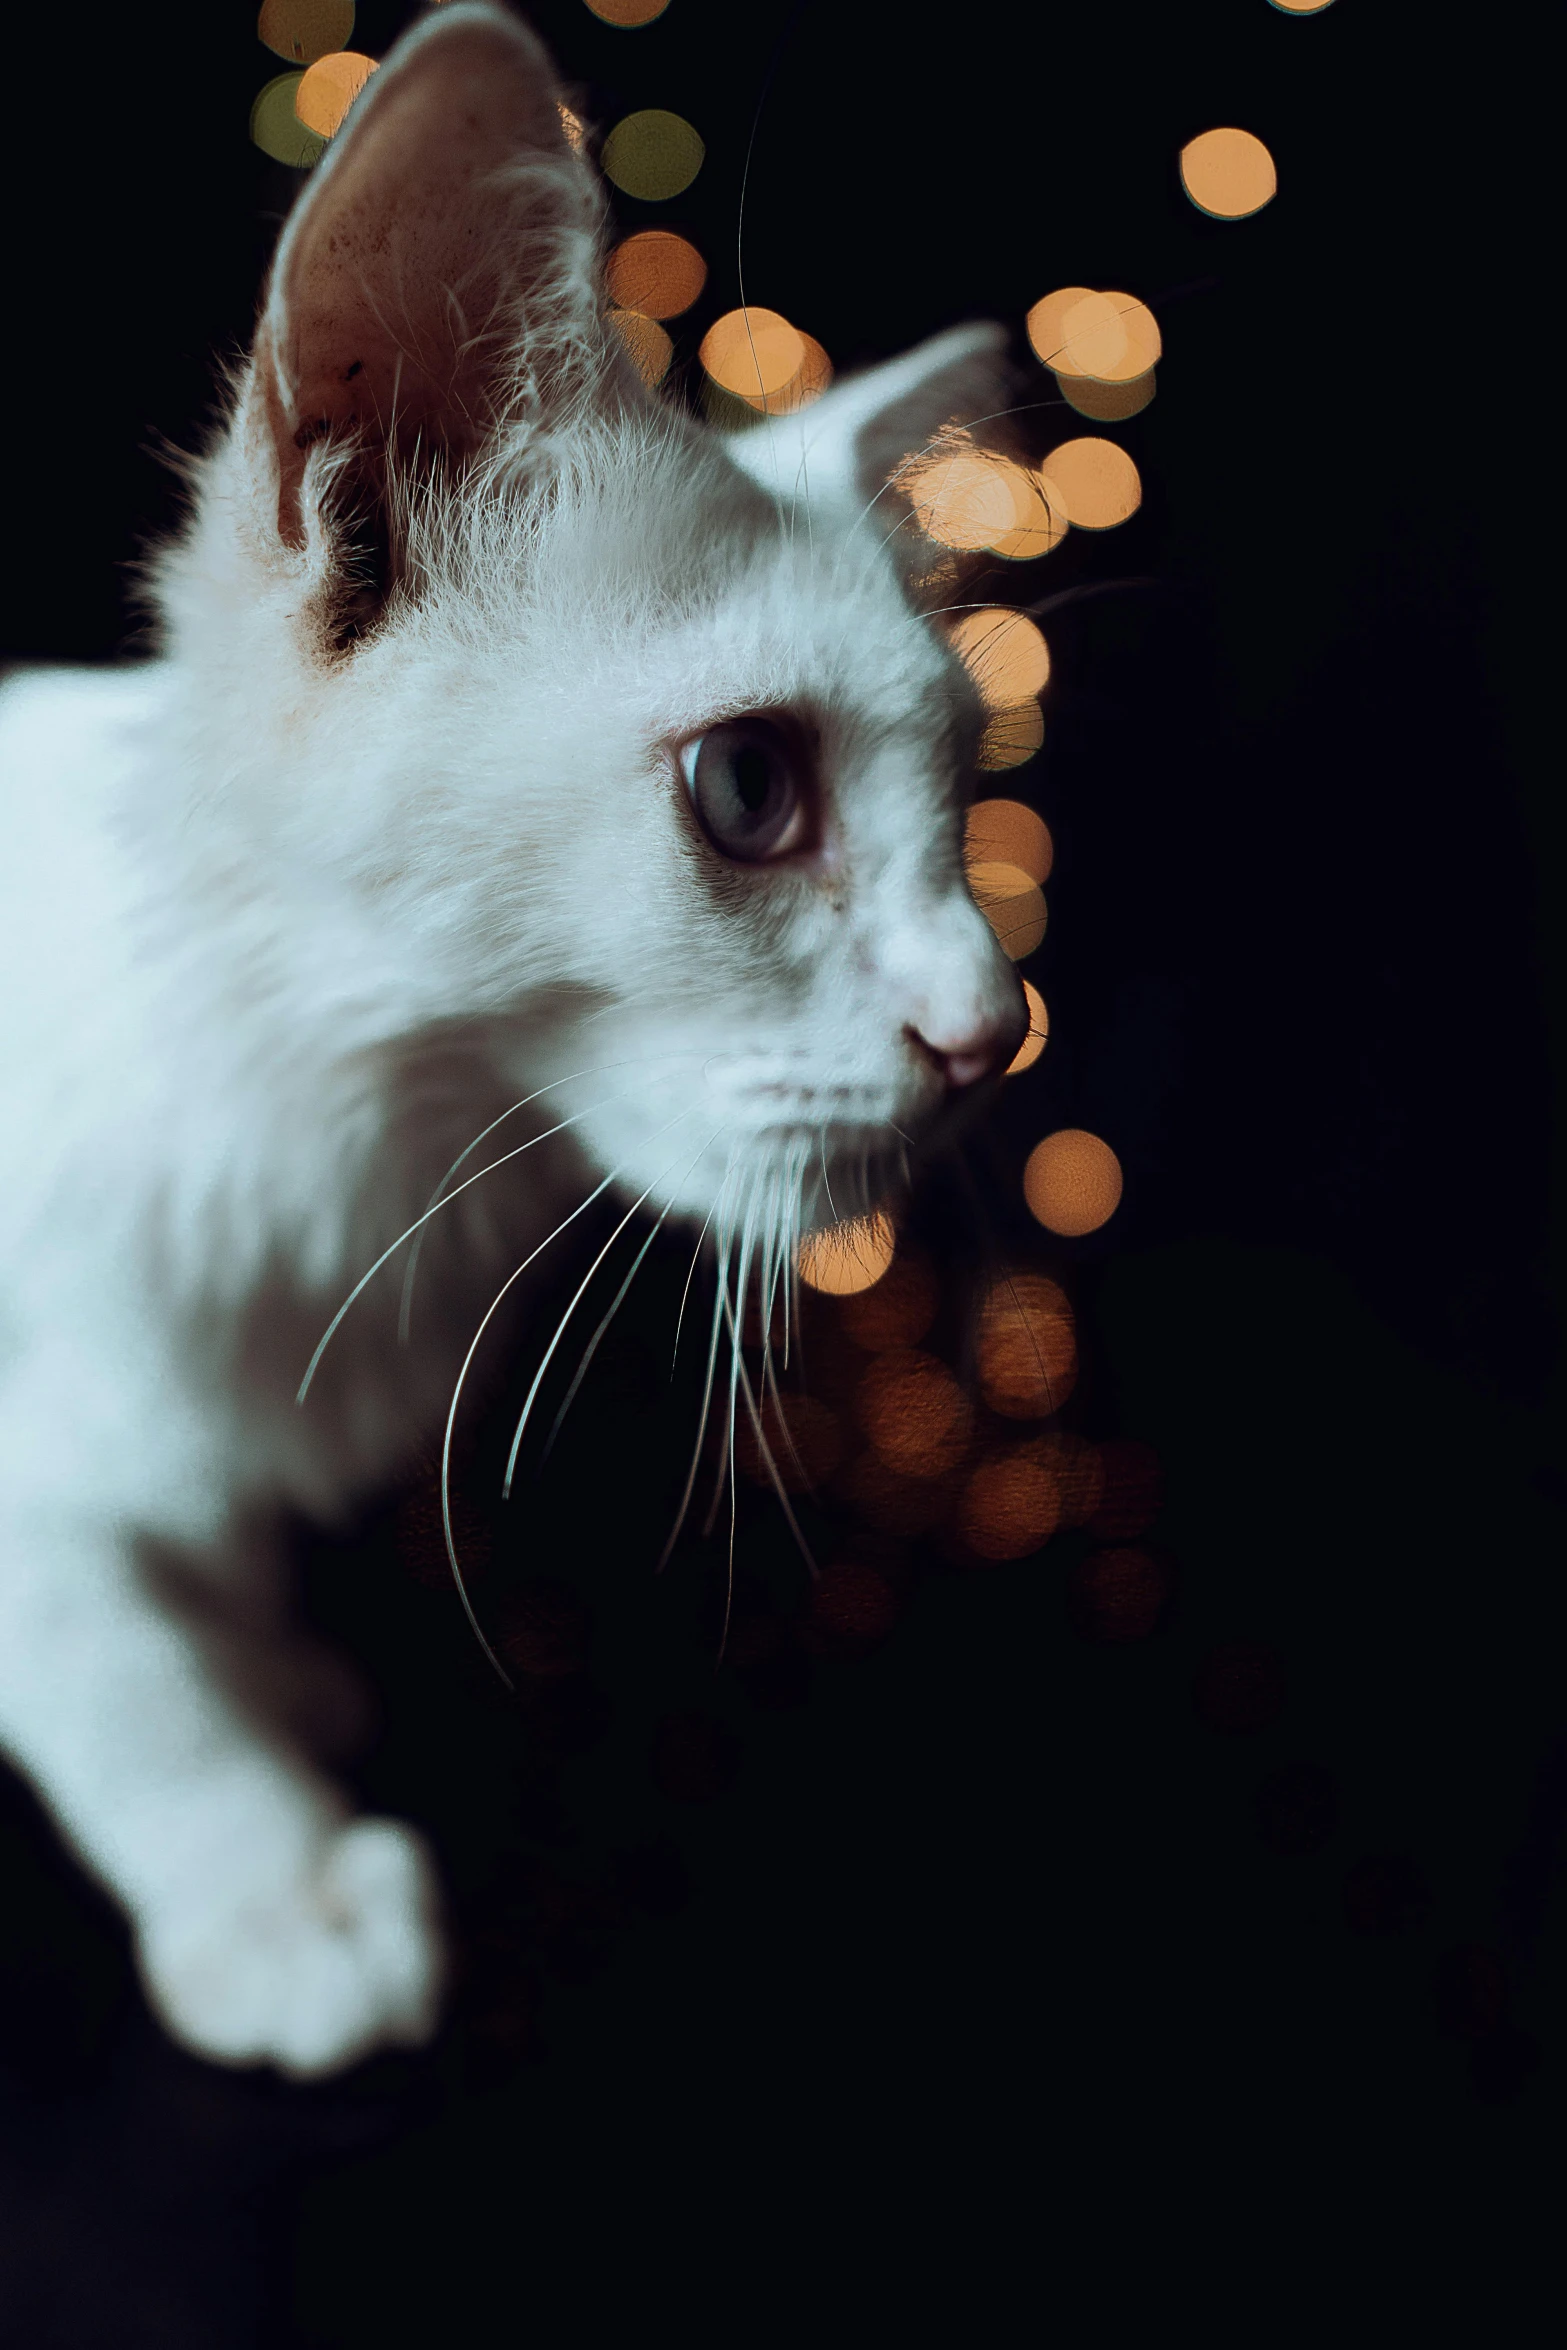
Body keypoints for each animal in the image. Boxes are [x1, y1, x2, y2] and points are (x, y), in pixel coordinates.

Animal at [0, 0, 1029, 2077]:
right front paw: (270, 1879)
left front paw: (269, 1670)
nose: (994, 1033)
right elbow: (116, 1663)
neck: (348, 1147)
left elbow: (191, 1572)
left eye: (970, 785)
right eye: (746, 789)